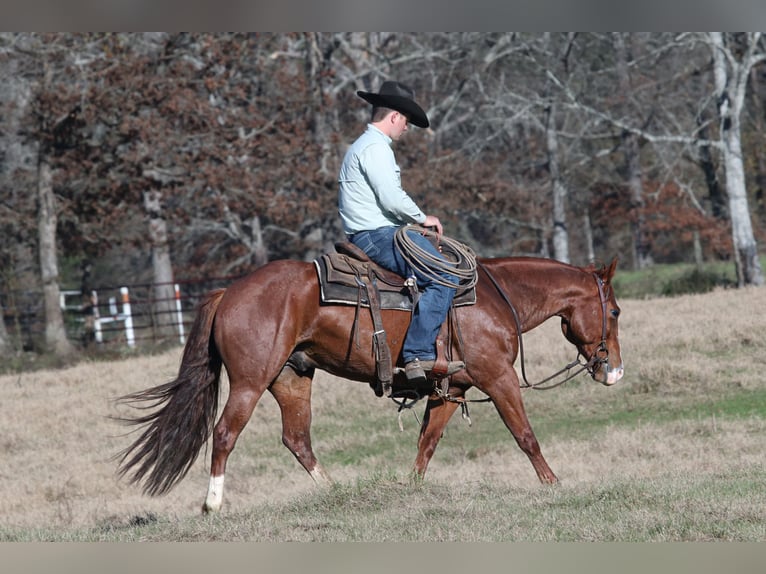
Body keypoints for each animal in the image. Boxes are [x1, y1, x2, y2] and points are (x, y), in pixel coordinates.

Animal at [118, 255, 624, 512]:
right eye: (615, 311)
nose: (613, 370)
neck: (497, 298)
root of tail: (229, 292)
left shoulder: (453, 390)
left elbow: (426, 444)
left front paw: (410, 490)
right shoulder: (497, 378)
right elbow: (525, 435)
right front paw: (554, 484)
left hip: (292, 378)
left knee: (296, 438)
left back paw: (335, 492)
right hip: (249, 381)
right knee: (225, 434)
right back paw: (213, 505)